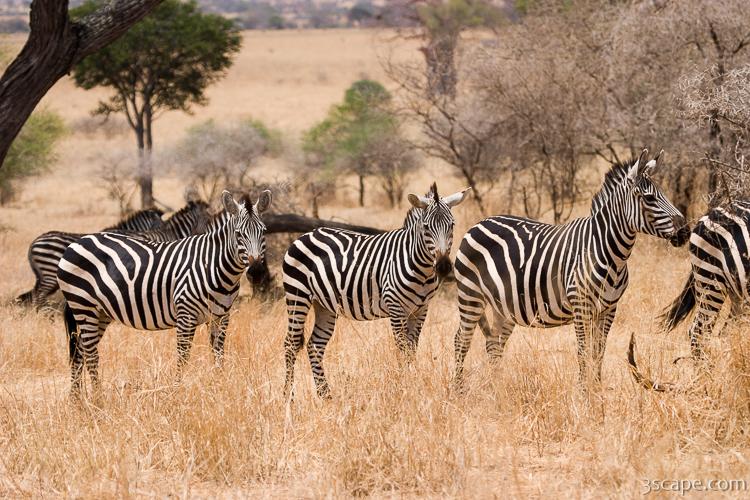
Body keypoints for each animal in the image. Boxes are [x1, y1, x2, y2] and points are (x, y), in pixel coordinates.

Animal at [57, 190, 271, 396]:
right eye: (239, 234)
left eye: (263, 232)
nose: (256, 271)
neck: (212, 265)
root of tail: (77, 242)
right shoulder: (186, 314)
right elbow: (183, 356)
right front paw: (176, 392)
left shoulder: (221, 316)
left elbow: (218, 354)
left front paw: (219, 386)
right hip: (84, 307)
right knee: (90, 354)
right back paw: (98, 399)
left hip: (100, 312)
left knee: (80, 351)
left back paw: (77, 400)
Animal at [282, 183, 470, 398]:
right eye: (426, 227)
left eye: (452, 225)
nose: (444, 267)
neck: (420, 268)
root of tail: (305, 235)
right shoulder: (396, 308)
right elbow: (402, 349)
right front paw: (404, 387)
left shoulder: (421, 309)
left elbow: (411, 349)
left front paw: (411, 385)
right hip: (297, 295)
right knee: (290, 344)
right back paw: (289, 397)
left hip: (324, 304)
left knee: (315, 345)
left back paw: (325, 395)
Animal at [453, 150, 690, 387]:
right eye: (649, 198)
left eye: (663, 194)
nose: (686, 232)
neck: (609, 253)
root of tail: (480, 222)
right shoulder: (581, 306)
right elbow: (583, 353)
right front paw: (585, 392)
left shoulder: (609, 309)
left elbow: (598, 353)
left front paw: (597, 391)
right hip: (470, 295)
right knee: (461, 340)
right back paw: (458, 389)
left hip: (503, 306)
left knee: (494, 344)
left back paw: (497, 387)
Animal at [660, 200, 750, 359]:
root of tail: (708, 214)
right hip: (710, 280)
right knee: (698, 332)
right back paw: (707, 367)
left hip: (737, 292)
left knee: (727, 333)